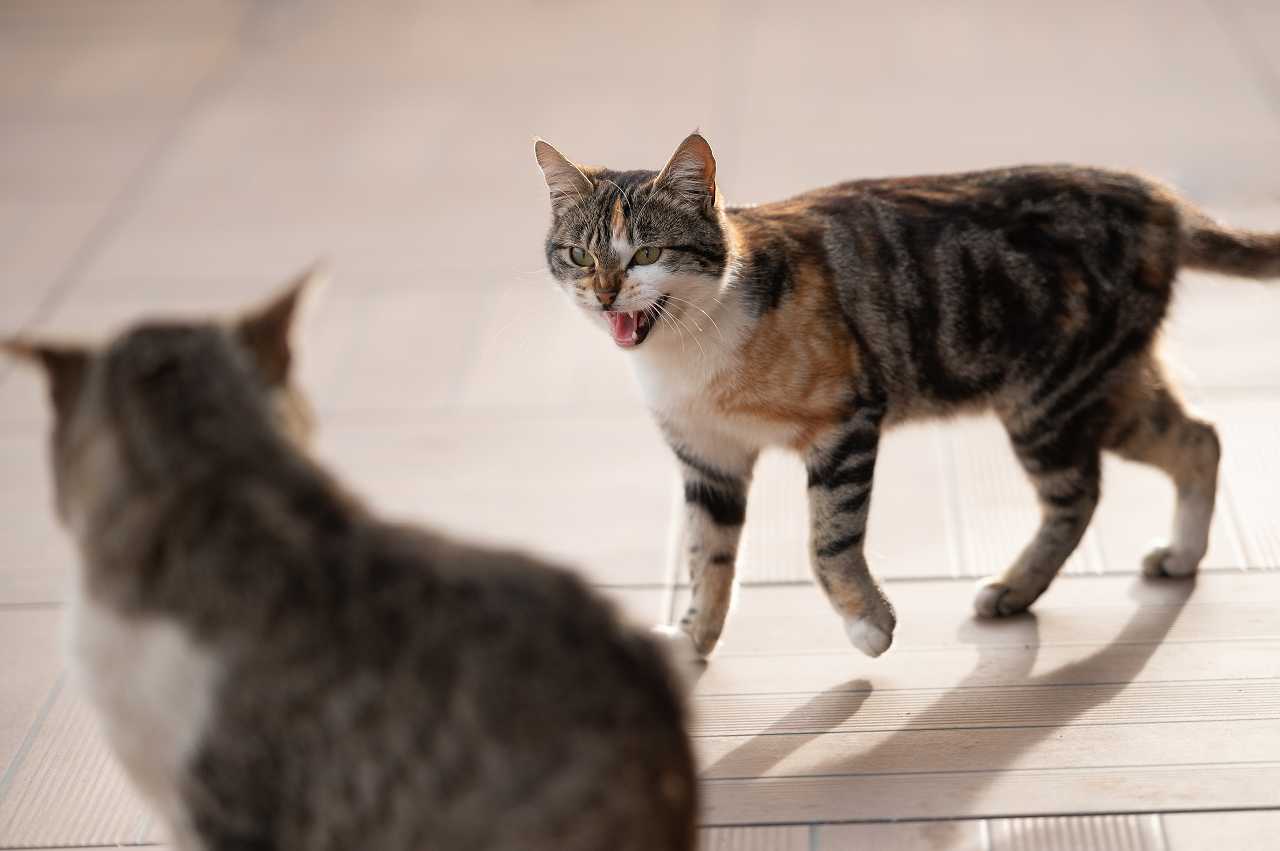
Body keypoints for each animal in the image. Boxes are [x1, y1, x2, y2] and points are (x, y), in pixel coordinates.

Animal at [535, 133, 1274, 660]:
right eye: (579, 255)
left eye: (646, 253)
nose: (605, 293)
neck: (686, 350)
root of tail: (1158, 199)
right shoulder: (707, 459)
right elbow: (706, 557)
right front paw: (692, 642)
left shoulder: (846, 422)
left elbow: (828, 541)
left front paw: (868, 625)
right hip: (1108, 386)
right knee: (1199, 438)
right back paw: (1179, 556)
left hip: (1054, 392)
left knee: (1081, 491)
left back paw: (1013, 588)